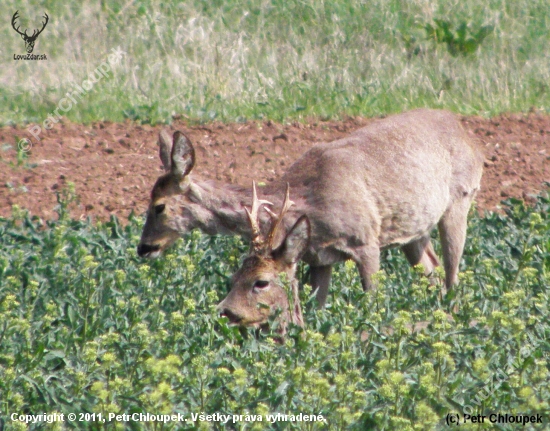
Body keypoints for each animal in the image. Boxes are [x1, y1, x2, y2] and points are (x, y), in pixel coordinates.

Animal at [137, 109, 484, 308]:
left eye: (158, 206)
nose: (144, 248)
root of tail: (464, 127)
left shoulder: (366, 240)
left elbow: (370, 301)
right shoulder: (319, 258)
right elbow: (317, 308)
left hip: (460, 199)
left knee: (452, 274)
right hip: (413, 231)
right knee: (432, 270)